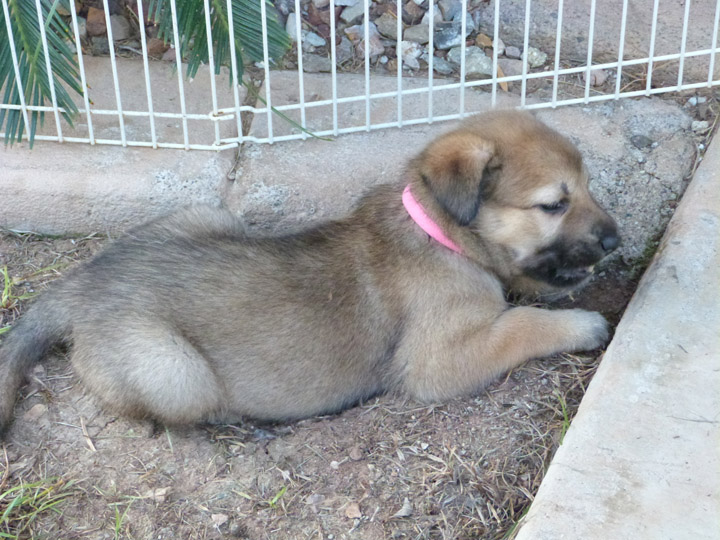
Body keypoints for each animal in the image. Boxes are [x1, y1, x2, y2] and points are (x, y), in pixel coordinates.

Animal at [0, 110, 620, 434]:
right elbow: (520, 325)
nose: (614, 241)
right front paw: (584, 325)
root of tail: (82, 286)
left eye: (589, 186)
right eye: (554, 204)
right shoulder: (437, 364)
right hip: (174, 371)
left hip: (209, 214)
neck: (439, 233)